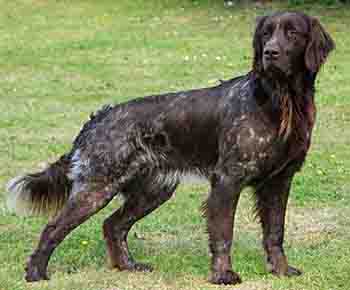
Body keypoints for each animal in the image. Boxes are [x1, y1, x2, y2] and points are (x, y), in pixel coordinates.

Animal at [5, 10, 334, 284]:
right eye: (266, 33)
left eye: (292, 32)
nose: (270, 53)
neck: (280, 102)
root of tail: (99, 117)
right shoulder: (228, 180)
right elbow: (223, 234)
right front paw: (223, 275)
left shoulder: (279, 181)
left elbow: (275, 233)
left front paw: (281, 271)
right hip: (97, 188)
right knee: (53, 228)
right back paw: (35, 273)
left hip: (153, 190)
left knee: (113, 225)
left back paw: (128, 266)